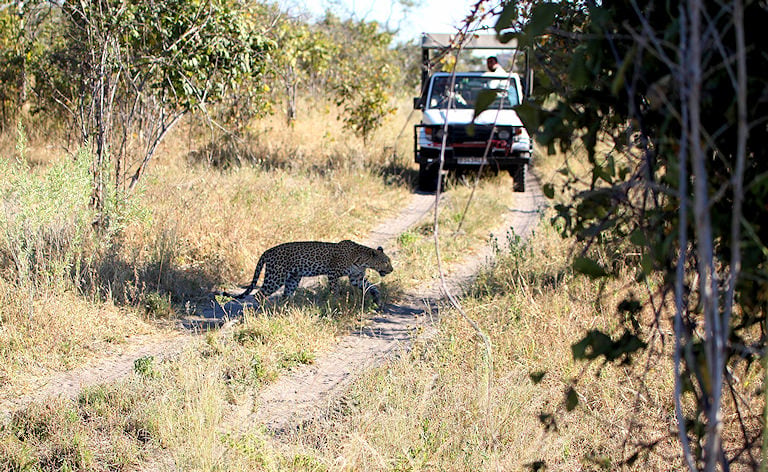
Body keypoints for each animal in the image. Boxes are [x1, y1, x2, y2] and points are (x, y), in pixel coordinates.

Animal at [228, 240, 393, 304]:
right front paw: (335, 302)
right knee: (258, 295)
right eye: (385, 262)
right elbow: (334, 290)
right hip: (276, 277)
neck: (363, 259)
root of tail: (267, 251)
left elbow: (371, 286)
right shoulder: (333, 273)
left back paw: (285, 309)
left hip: (293, 278)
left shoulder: (356, 277)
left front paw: (377, 299)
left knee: (285, 295)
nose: (391, 270)